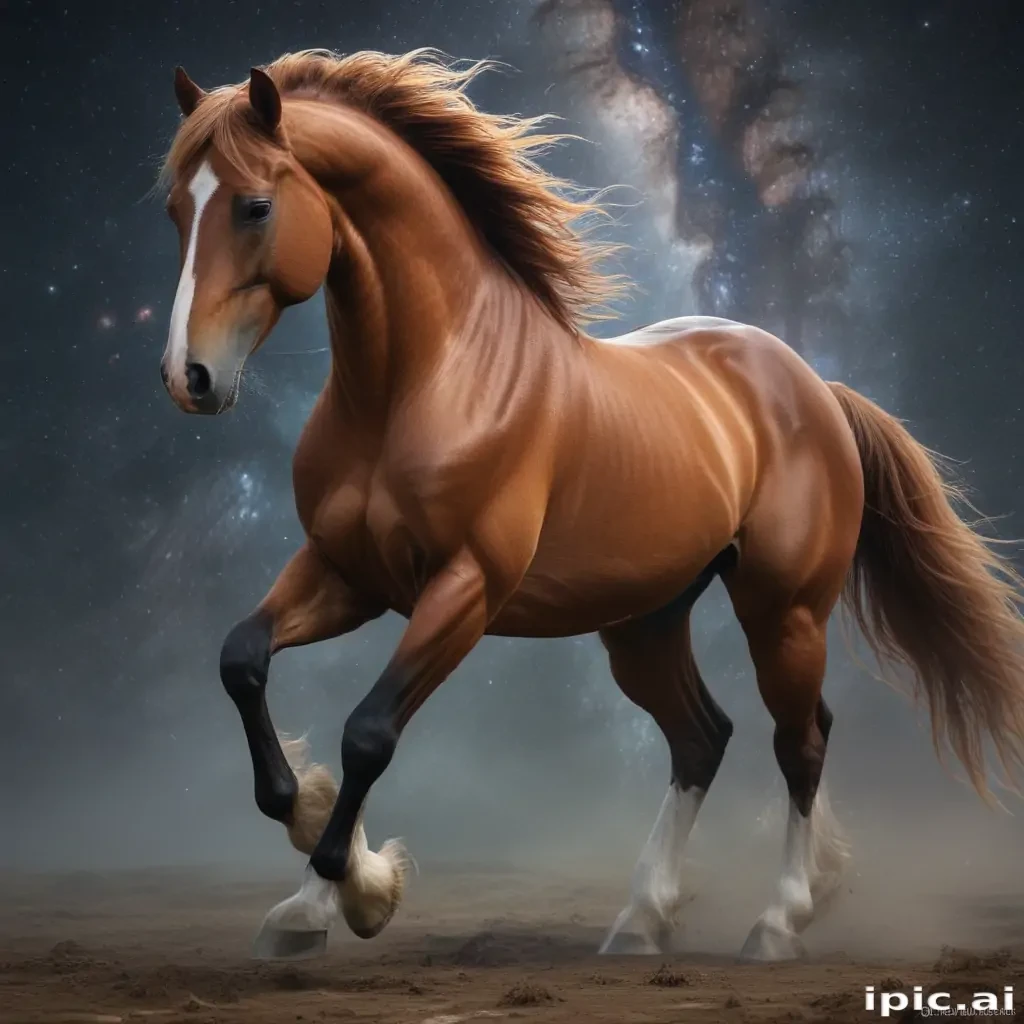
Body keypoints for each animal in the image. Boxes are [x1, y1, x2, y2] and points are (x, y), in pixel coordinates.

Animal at [156, 48, 1024, 962]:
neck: (421, 383)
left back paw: (778, 920)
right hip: (644, 623)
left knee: (801, 740)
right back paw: (643, 918)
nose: (190, 377)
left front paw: (357, 891)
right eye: (177, 207)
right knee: (703, 738)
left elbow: (369, 732)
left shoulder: (464, 589)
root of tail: (814, 386)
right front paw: (312, 875)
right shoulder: (346, 573)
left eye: (254, 205)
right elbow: (243, 661)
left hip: (783, 611)